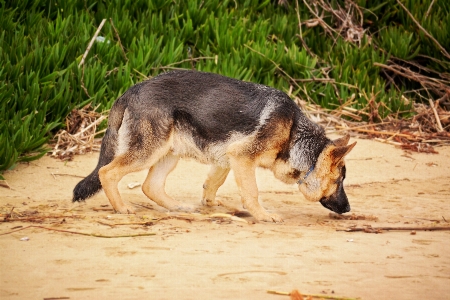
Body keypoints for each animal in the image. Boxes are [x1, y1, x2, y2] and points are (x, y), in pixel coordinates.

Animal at [73, 69, 356, 221]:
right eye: (339, 181)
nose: (348, 208)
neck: (294, 133)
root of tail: (130, 91)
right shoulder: (242, 158)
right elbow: (252, 192)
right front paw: (262, 215)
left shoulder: (227, 157)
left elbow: (212, 184)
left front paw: (210, 204)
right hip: (147, 152)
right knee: (106, 172)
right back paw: (122, 208)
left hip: (168, 153)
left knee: (150, 186)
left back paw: (178, 207)